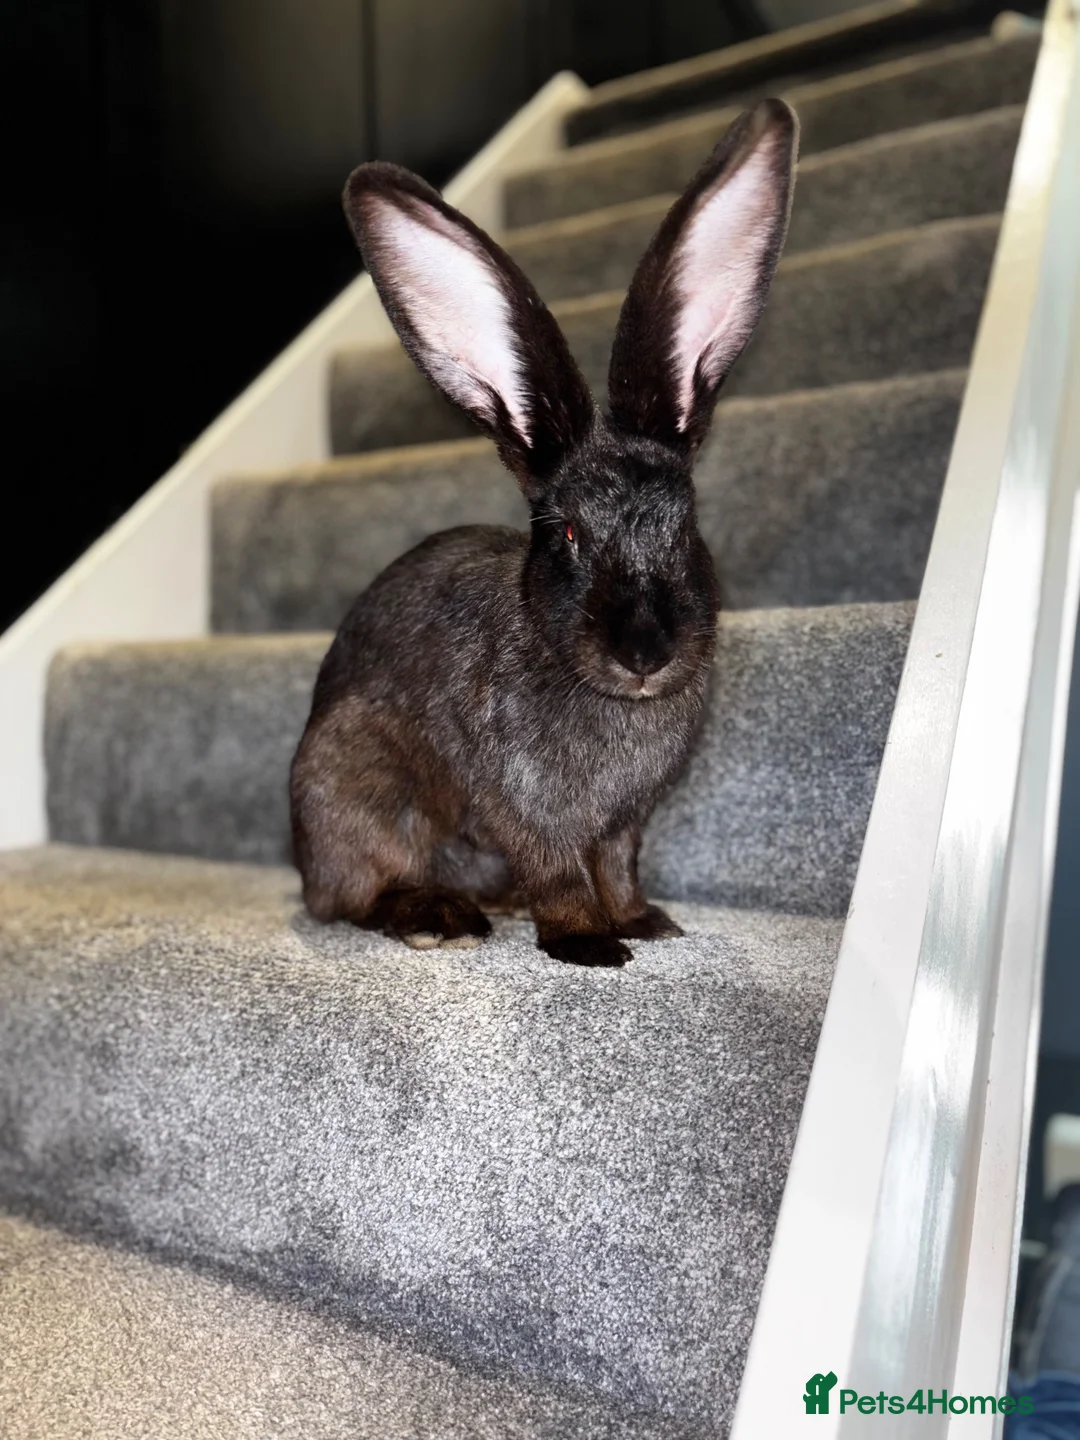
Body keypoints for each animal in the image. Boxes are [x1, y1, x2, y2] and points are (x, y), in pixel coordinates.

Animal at [290, 98, 798, 968]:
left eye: (687, 524)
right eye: (564, 534)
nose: (644, 654)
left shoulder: (627, 822)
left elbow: (618, 864)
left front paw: (642, 923)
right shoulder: (526, 809)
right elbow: (560, 871)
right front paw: (589, 946)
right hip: (356, 784)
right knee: (356, 894)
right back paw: (437, 917)